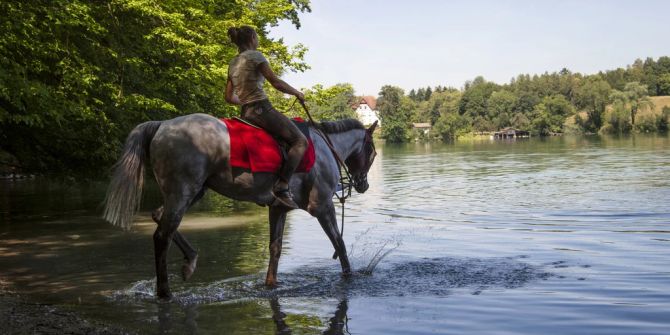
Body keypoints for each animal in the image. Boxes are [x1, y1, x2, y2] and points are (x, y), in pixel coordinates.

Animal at [103, 113, 378, 300]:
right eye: (373, 153)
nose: (363, 185)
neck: (325, 149)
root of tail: (162, 125)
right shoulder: (322, 207)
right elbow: (339, 243)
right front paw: (350, 277)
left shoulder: (278, 209)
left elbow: (275, 249)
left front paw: (270, 285)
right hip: (183, 193)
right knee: (162, 236)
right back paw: (165, 292)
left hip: (190, 193)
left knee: (159, 216)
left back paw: (190, 261)